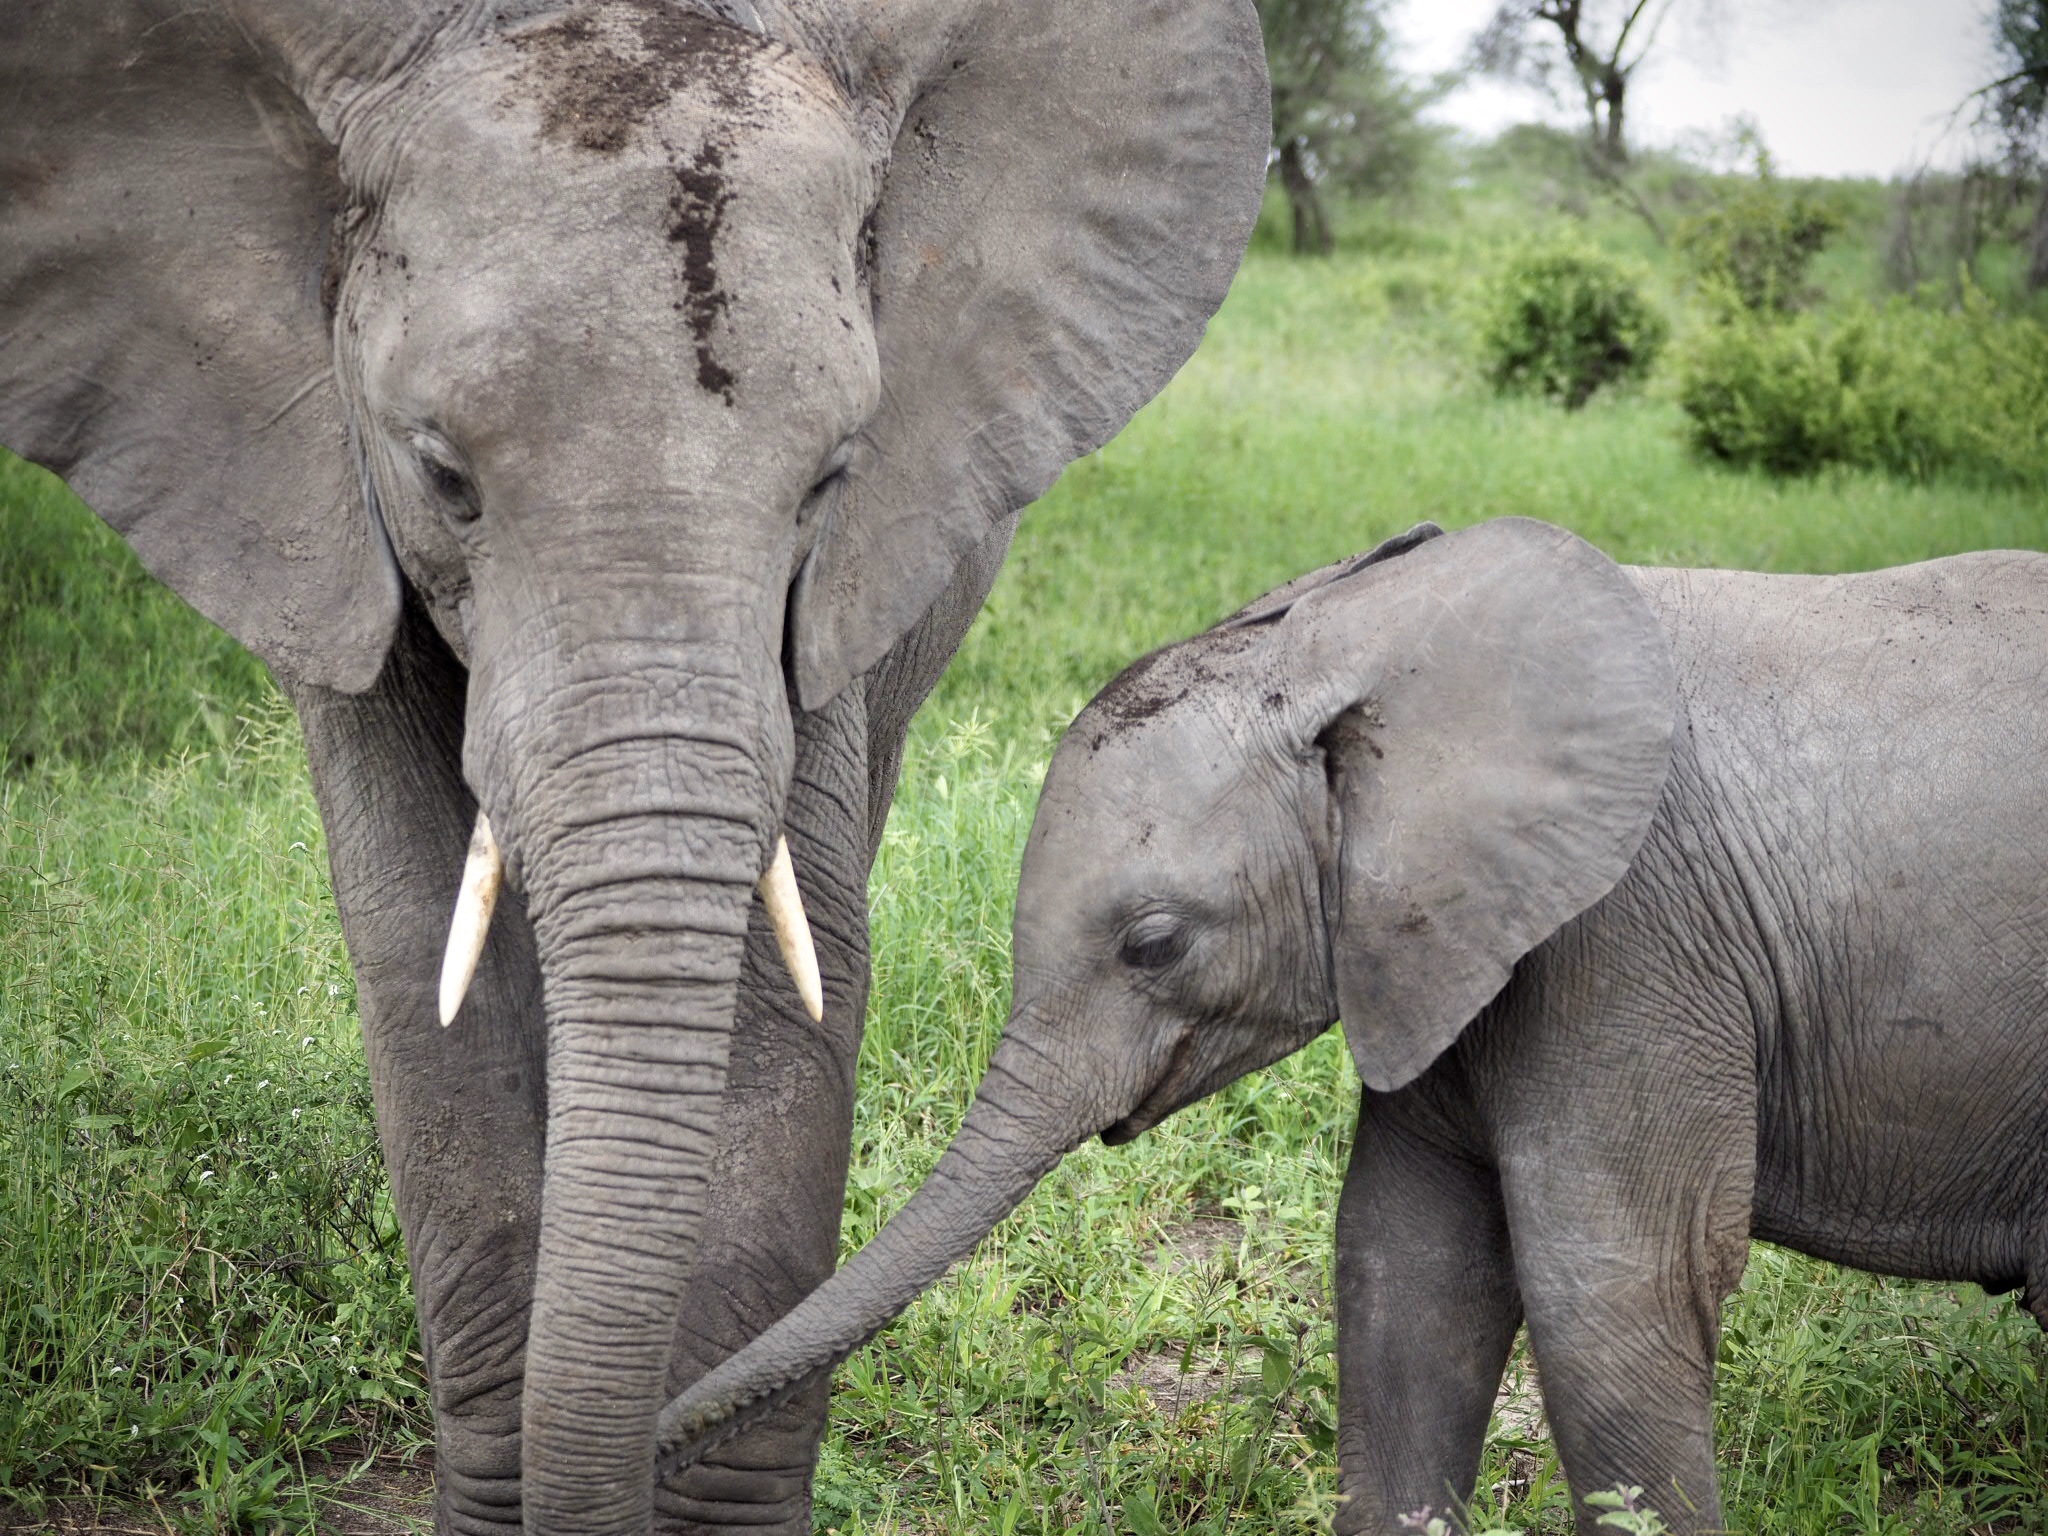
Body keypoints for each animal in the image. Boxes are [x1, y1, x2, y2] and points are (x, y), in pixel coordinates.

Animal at [659, 524, 2048, 1531]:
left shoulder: (1630, 934)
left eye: (1152, 944)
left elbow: (1611, 1288)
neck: (1359, 637)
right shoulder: (1442, 949)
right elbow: (1405, 1267)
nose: (655, 1436)